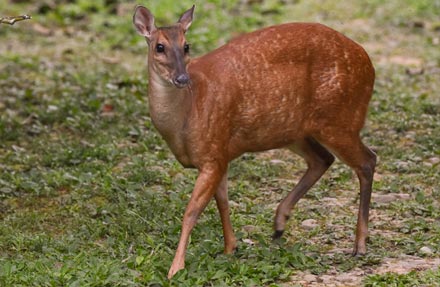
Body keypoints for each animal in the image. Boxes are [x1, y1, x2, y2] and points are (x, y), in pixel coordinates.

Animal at [132, 3, 376, 280]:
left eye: (186, 46)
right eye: (159, 47)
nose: (182, 79)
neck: (187, 114)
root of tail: (369, 64)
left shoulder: (212, 153)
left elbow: (191, 211)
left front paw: (175, 268)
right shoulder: (221, 154)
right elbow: (223, 202)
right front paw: (230, 248)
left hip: (340, 119)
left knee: (367, 160)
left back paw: (359, 245)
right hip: (294, 130)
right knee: (323, 159)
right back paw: (279, 224)